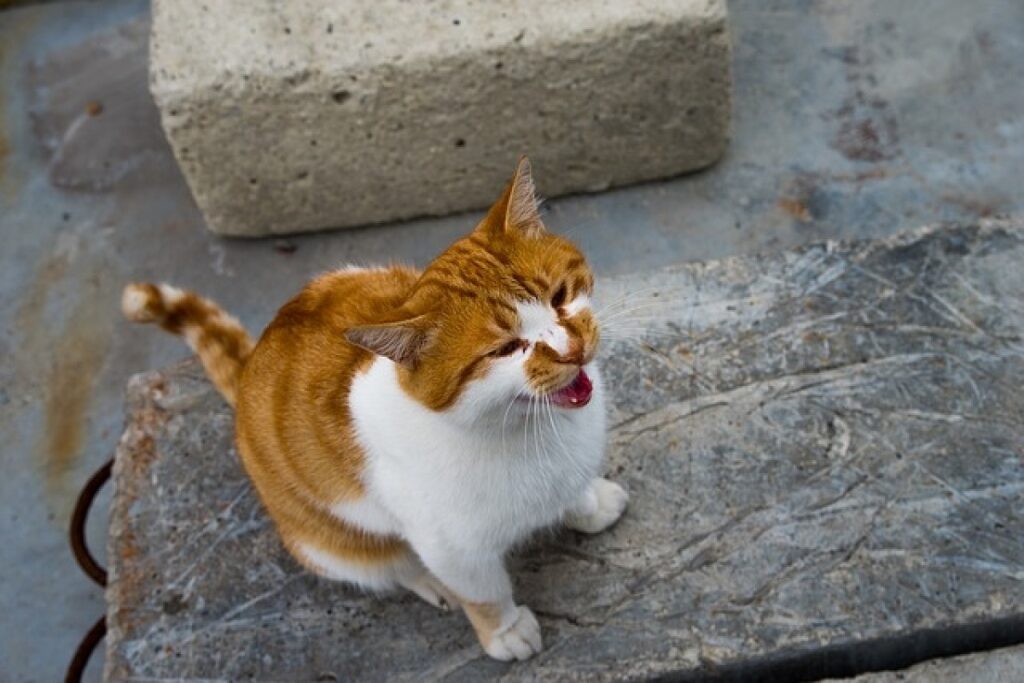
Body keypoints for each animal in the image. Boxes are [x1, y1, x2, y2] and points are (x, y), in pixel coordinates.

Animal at [123, 157, 626, 659]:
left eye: (559, 296)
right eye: (506, 349)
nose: (573, 350)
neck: (530, 428)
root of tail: (250, 368)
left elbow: (570, 491)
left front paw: (586, 503)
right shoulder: (451, 547)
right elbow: (482, 592)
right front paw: (504, 631)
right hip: (327, 545)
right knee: (386, 564)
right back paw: (425, 581)